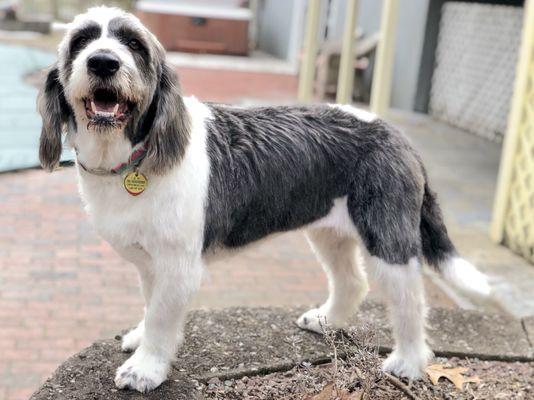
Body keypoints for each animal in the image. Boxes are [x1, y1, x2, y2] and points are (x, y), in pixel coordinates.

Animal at [35, 6, 492, 394]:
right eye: (81, 41)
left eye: (133, 44)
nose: (103, 62)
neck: (137, 152)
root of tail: (396, 134)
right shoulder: (151, 262)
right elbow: (151, 309)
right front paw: (140, 337)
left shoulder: (178, 265)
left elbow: (162, 318)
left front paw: (146, 369)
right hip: (329, 231)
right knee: (352, 281)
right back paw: (327, 320)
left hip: (387, 239)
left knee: (411, 299)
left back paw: (410, 362)